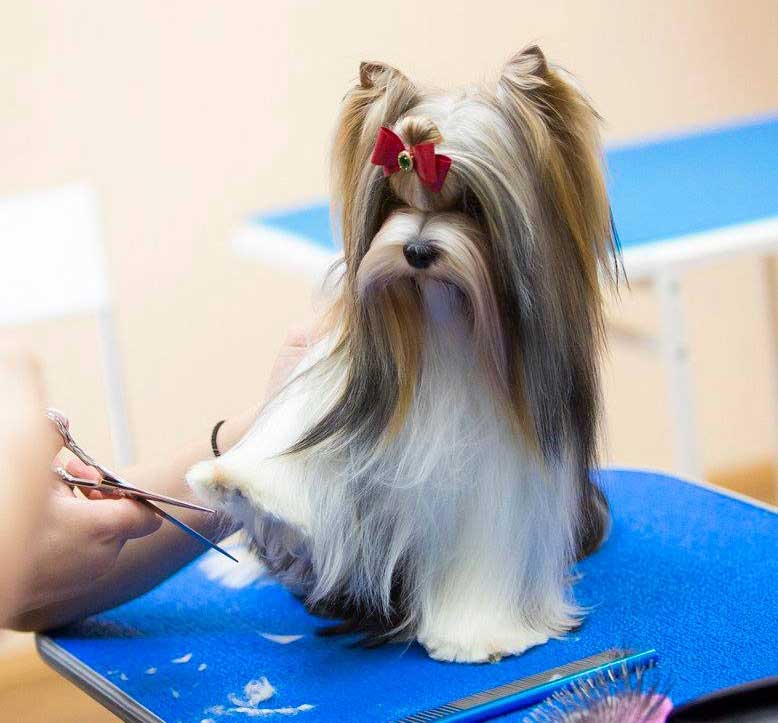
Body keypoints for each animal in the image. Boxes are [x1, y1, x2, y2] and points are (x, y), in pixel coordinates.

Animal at [188, 45, 618, 663]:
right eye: (390, 199)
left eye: (472, 205)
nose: (416, 251)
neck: (443, 324)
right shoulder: (340, 385)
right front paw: (240, 482)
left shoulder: (502, 477)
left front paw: (475, 636)